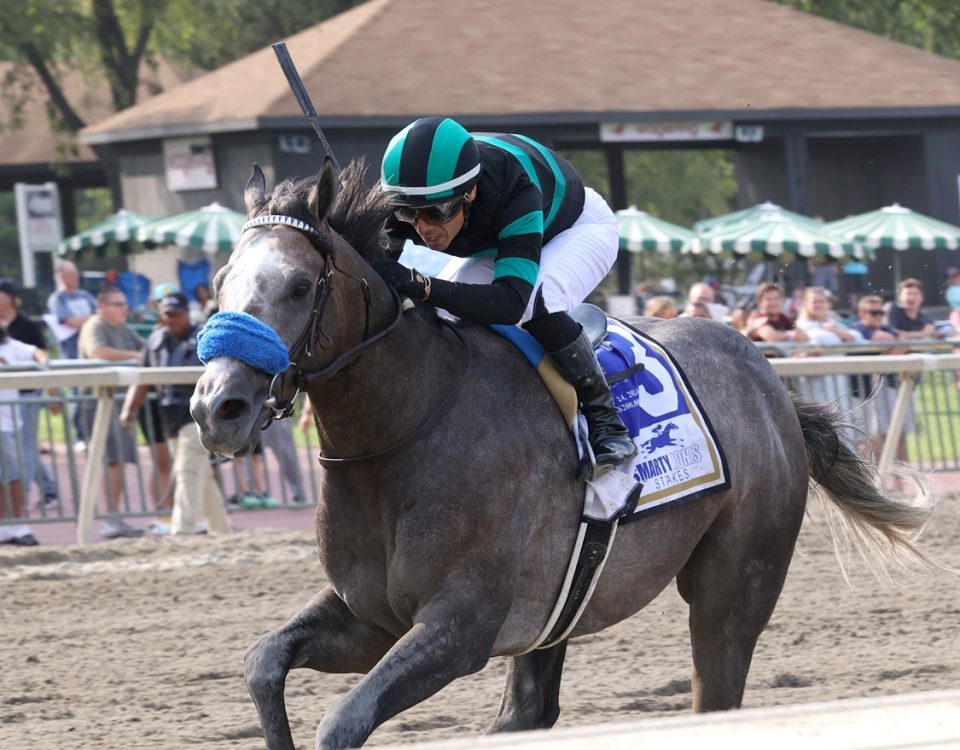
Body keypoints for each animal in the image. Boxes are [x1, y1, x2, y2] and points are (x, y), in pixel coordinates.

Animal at [191, 163, 932, 750]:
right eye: (221, 281)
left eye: (296, 285)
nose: (216, 406)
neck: (404, 427)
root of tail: (768, 378)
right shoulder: (373, 617)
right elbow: (262, 660)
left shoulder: (459, 626)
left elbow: (341, 721)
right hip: (563, 602)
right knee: (528, 711)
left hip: (732, 588)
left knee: (715, 689)